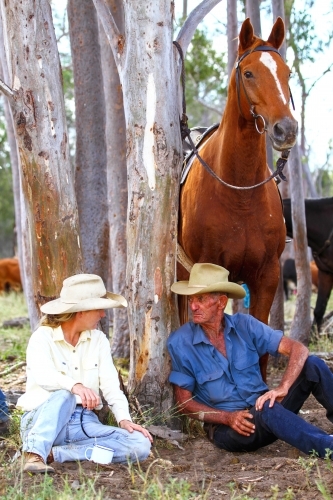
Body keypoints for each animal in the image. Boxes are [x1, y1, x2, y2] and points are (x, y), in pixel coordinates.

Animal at [178, 18, 296, 378]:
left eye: (287, 73)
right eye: (249, 73)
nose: (286, 130)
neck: (239, 194)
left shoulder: (267, 278)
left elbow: (261, 350)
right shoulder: (202, 275)